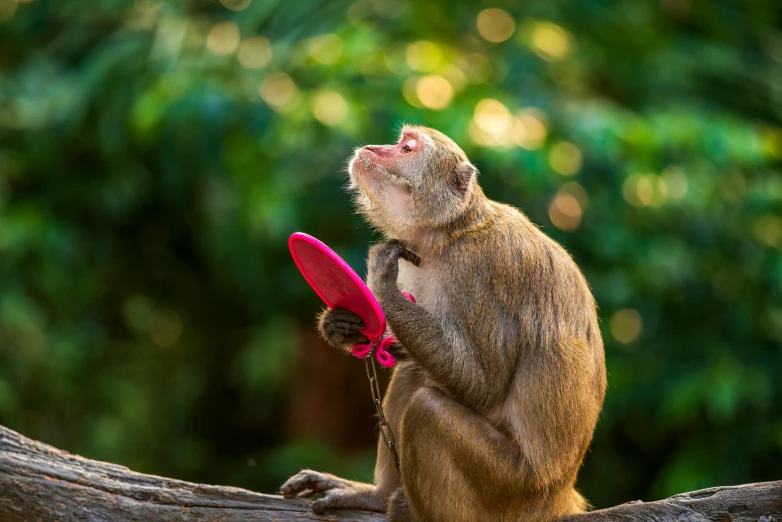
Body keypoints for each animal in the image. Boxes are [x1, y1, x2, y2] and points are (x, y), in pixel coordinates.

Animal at [280, 125, 608, 520]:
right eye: (399, 141)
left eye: (406, 148)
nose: (372, 148)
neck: (451, 232)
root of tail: (560, 497)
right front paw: (341, 325)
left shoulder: (483, 270)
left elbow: (482, 384)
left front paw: (382, 284)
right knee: (414, 371)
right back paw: (376, 495)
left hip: (510, 487)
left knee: (428, 409)